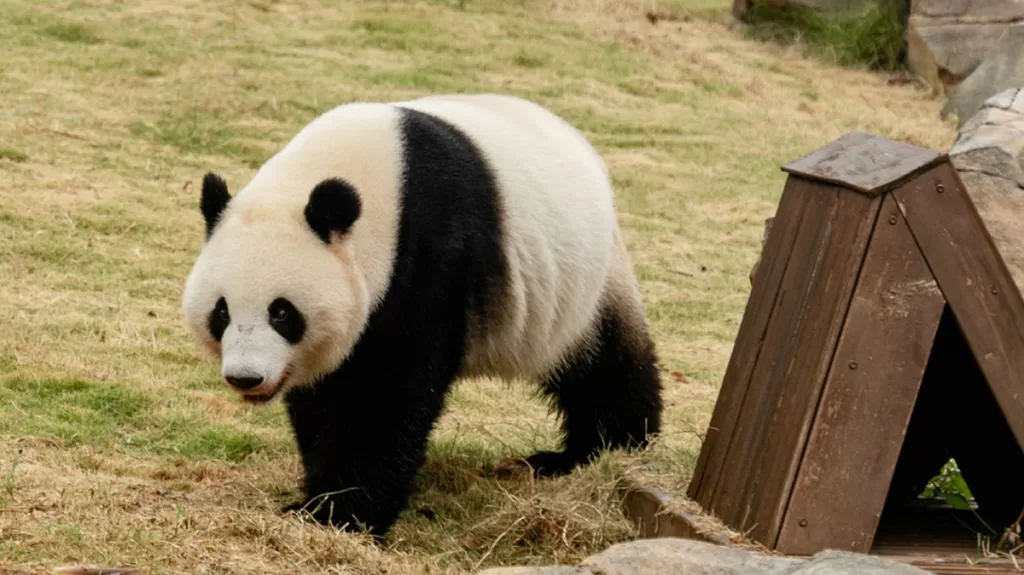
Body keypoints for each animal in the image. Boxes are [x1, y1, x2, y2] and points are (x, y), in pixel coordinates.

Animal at [180, 93, 664, 537]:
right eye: (221, 312)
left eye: (282, 312)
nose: (246, 378)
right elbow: (323, 396)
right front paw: (317, 495)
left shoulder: (427, 257)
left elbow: (385, 395)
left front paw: (341, 514)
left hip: (585, 286)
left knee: (605, 369)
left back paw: (601, 452)